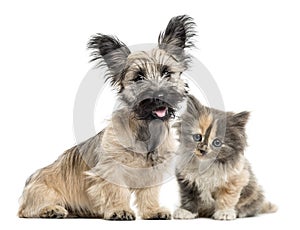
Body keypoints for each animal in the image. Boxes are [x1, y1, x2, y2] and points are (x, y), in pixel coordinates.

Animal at [18, 15, 197, 220]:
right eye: (138, 77)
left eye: (167, 72)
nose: (158, 95)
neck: (145, 128)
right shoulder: (112, 168)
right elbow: (116, 191)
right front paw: (120, 210)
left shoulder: (152, 171)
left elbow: (149, 193)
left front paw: (152, 210)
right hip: (44, 190)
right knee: (28, 209)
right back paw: (50, 210)